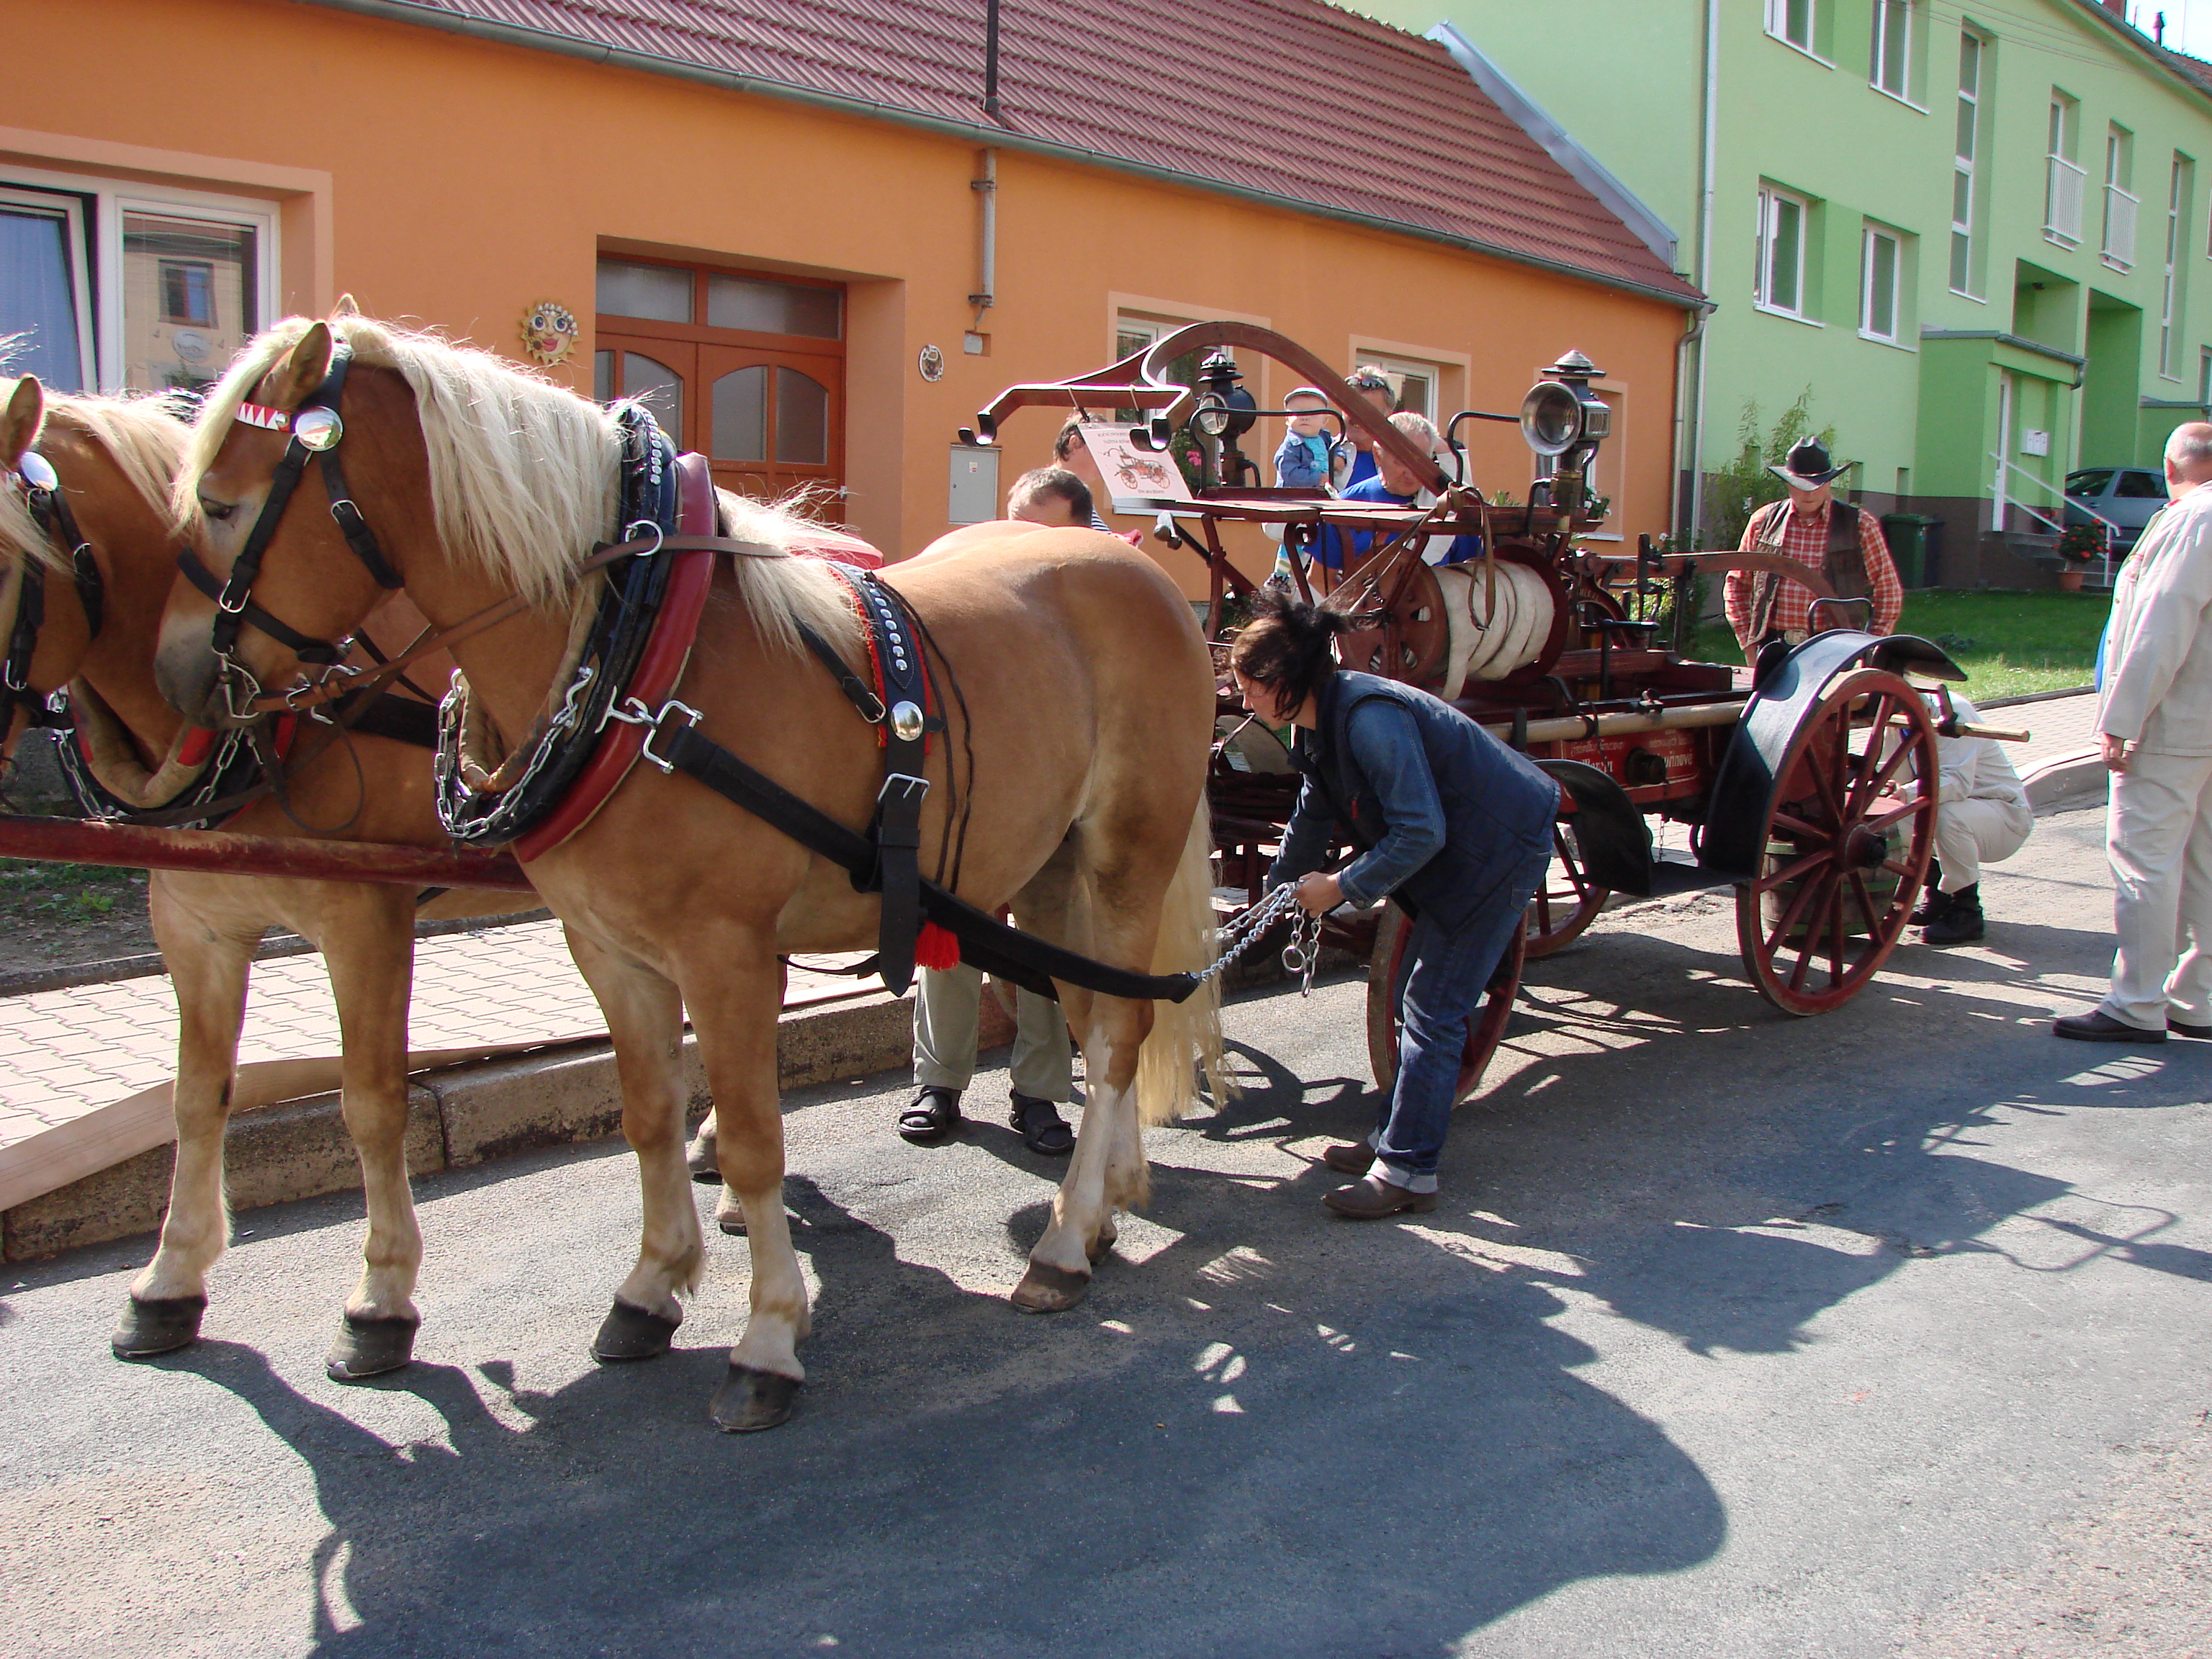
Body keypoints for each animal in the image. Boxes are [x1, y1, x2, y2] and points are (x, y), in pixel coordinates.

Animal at [0, 373, 543, 1380]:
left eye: (2, 560)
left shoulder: (366, 918)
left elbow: (370, 1103)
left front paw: (381, 1298)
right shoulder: (195, 927)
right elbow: (194, 1097)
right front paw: (169, 1281)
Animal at [153, 313, 1224, 1431]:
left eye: (222, 503)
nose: (178, 681)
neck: (638, 666)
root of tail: (1141, 572)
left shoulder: (726, 955)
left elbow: (753, 1141)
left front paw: (767, 1338)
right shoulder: (609, 949)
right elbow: (651, 1113)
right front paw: (650, 1286)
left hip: (1126, 857)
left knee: (1116, 1036)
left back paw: (1060, 1244)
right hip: (1051, 873)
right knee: (1101, 1016)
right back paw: (1101, 1209)